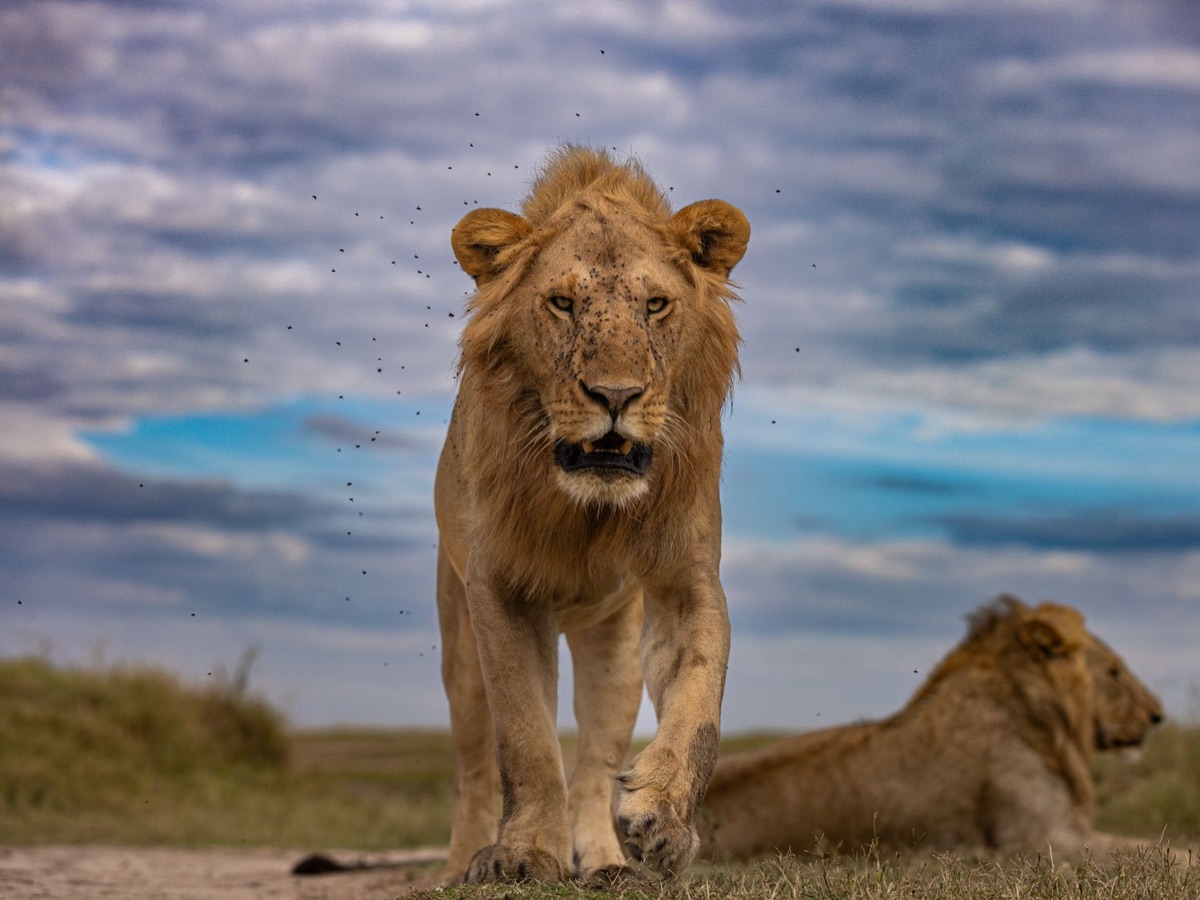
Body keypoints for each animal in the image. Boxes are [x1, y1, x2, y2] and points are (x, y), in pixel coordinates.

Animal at [434, 146, 750, 883]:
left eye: (656, 304)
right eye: (562, 303)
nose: (615, 395)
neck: (588, 514)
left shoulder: (686, 580)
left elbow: (702, 700)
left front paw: (663, 820)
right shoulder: (499, 590)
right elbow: (524, 738)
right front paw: (523, 854)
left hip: (614, 648)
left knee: (594, 766)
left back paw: (606, 862)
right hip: (457, 642)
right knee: (475, 768)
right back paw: (460, 865)